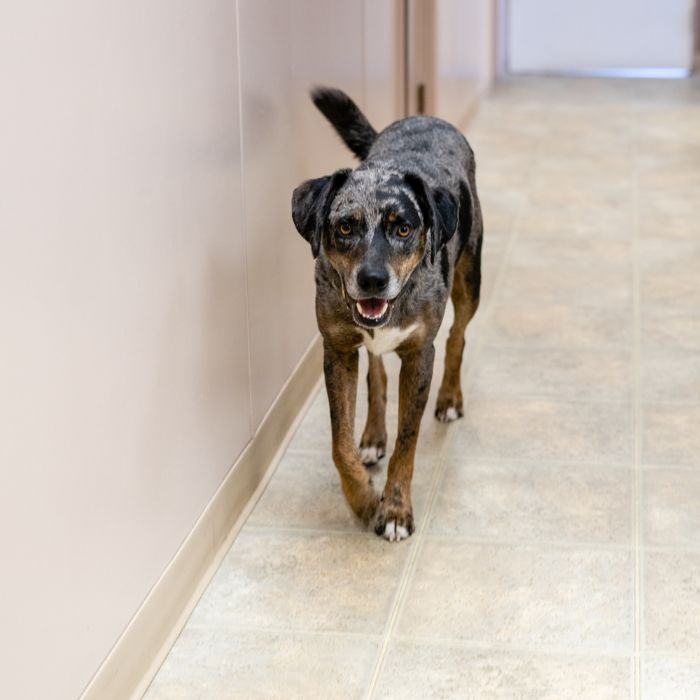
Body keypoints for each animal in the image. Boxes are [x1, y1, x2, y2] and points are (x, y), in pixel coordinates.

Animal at [290, 87, 482, 540]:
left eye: (403, 228)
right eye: (345, 227)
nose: (373, 279)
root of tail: (426, 117)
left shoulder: (418, 355)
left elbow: (406, 443)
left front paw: (394, 510)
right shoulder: (337, 350)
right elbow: (339, 443)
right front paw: (362, 498)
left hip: (471, 277)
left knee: (458, 334)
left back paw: (450, 398)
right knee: (376, 372)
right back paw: (374, 435)